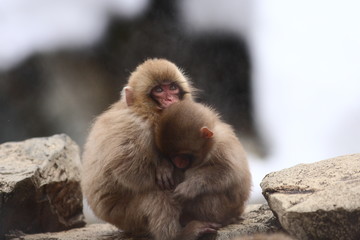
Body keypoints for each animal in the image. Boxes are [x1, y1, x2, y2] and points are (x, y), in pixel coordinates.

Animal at [81, 58, 219, 240]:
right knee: (157, 195)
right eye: (159, 90)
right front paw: (164, 167)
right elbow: (125, 167)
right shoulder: (136, 126)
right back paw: (179, 234)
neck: (148, 113)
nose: (170, 99)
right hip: (125, 214)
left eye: (172, 87)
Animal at [156, 100, 252, 229]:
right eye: (171, 156)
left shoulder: (223, 147)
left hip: (221, 209)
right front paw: (164, 166)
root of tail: (238, 211)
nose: (177, 162)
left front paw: (190, 186)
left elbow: (230, 172)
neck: (211, 143)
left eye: (182, 154)